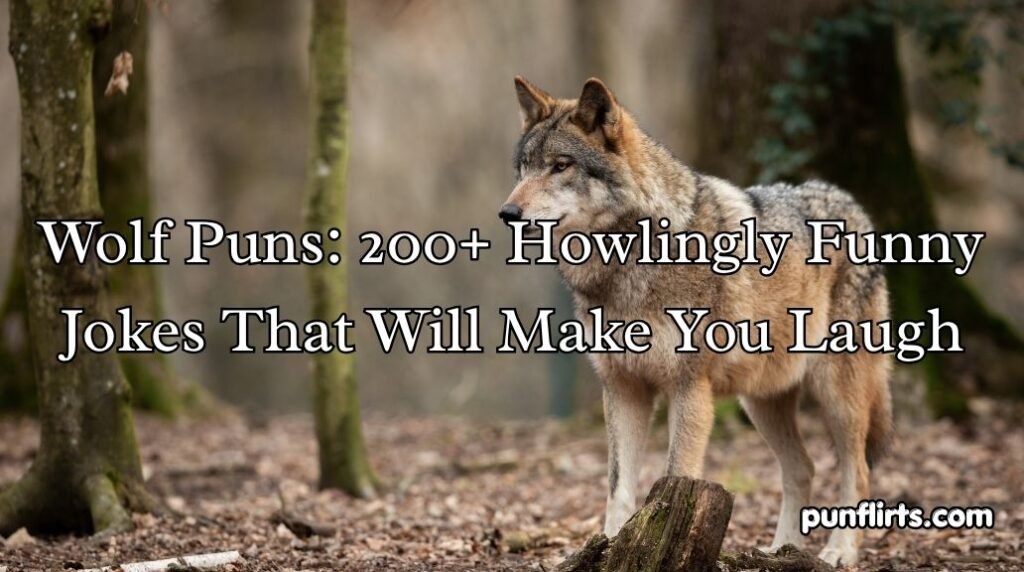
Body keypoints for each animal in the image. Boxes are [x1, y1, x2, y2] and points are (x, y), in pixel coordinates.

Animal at [500, 77, 893, 567]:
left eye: (560, 166)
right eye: (524, 168)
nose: (507, 213)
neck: (629, 260)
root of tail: (851, 201)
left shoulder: (689, 389)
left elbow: (674, 476)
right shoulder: (623, 388)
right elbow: (618, 488)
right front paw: (609, 548)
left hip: (837, 396)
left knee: (857, 472)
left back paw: (838, 552)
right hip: (761, 402)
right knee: (803, 467)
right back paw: (780, 550)